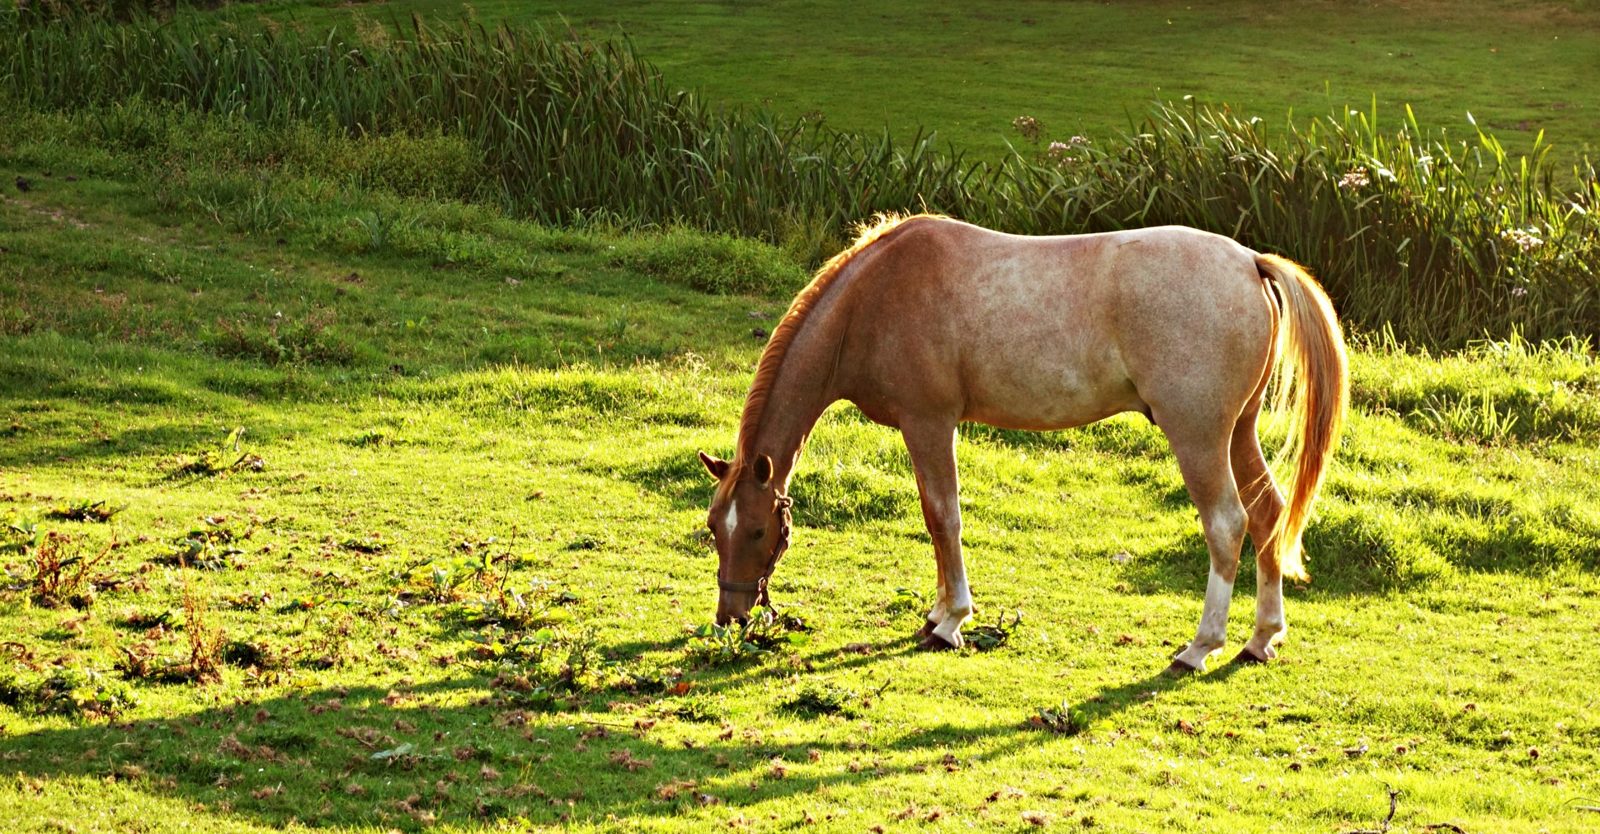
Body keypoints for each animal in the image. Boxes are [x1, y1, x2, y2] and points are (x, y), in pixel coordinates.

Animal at [697, 214, 1347, 674]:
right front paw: (939, 612)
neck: (874, 299)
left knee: (1227, 525)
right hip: (1238, 431)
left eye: (756, 530)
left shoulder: (929, 423)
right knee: (1268, 515)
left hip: (1199, 436)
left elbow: (943, 517)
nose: (730, 617)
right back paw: (1261, 638)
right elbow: (937, 518)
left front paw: (951, 621)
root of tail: (1249, 262)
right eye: (713, 527)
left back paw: (1199, 646)